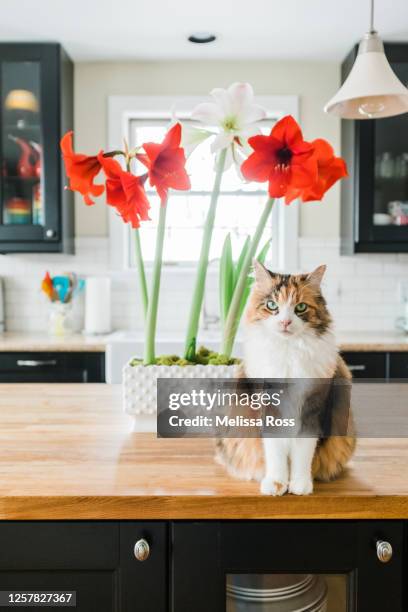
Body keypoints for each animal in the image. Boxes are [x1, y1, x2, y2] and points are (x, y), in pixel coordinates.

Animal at [215, 260, 356, 494]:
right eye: (272, 306)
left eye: (300, 307)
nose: (285, 322)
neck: (289, 352)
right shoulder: (268, 407)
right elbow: (275, 452)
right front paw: (276, 483)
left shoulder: (313, 409)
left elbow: (303, 453)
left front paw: (300, 484)